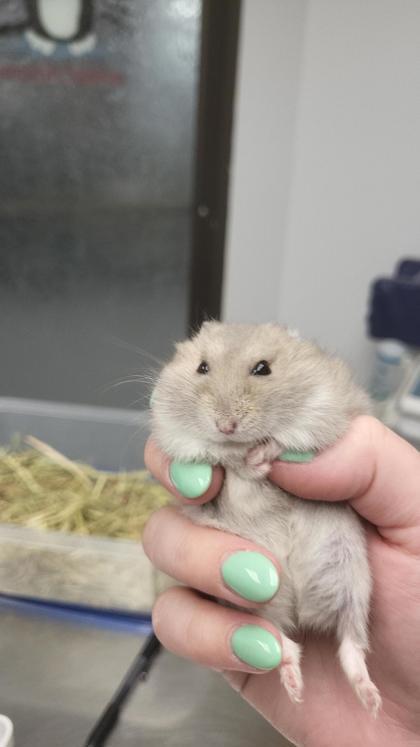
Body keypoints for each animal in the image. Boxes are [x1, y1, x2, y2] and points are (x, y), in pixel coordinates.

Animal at [151, 321, 381, 714]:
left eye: (263, 369)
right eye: (202, 368)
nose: (226, 425)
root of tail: (301, 611)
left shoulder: (328, 408)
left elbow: (289, 439)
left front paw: (262, 454)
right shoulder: (176, 435)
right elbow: (214, 459)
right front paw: (243, 462)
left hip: (353, 580)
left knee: (351, 644)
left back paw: (369, 700)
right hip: (250, 609)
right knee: (282, 642)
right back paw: (295, 686)